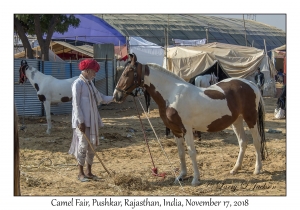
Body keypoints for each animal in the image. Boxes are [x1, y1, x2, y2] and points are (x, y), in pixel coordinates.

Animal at [114, 54, 268, 185]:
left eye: (128, 72)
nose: (117, 96)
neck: (172, 94)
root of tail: (250, 84)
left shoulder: (187, 129)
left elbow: (191, 152)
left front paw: (195, 179)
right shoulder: (176, 131)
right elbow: (181, 153)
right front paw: (181, 176)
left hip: (251, 118)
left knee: (256, 141)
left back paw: (257, 169)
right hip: (237, 120)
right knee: (243, 142)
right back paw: (235, 169)